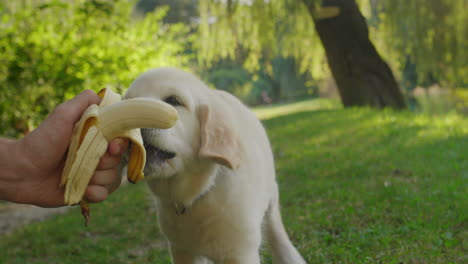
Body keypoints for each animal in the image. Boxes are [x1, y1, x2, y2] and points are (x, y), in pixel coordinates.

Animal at [124, 68, 308, 264]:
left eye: (173, 100)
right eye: (126, 101)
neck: (195, 196)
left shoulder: (241, 252)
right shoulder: (181, 250)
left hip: (271, 197)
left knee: (275, 230)